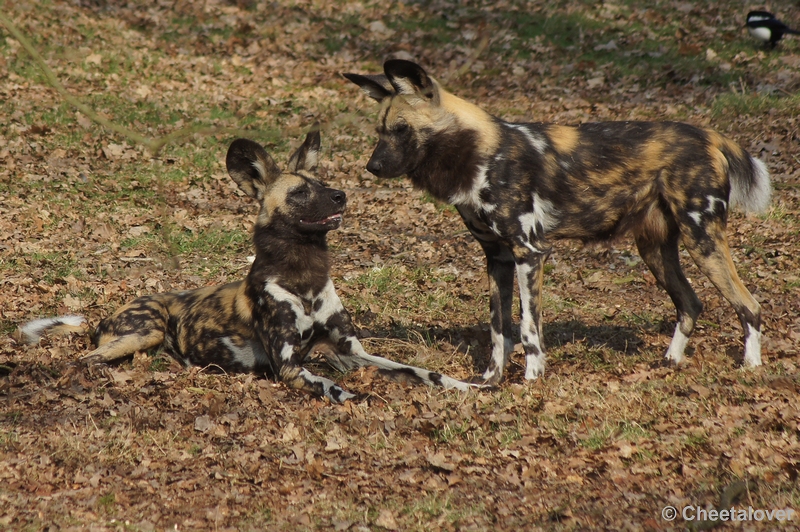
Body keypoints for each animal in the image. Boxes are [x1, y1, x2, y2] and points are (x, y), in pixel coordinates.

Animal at [21, 130, 476, 404]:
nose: (341, 195)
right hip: (146, 330)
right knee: (88, 361)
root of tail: (107, 316)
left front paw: (466, 386)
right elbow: (334, 388)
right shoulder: (290, 365)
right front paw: (359, 398)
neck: (305, 278)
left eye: (323, 183)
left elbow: (425, 372)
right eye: (300, 193)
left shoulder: (352, 353)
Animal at [346, 60, 772, 384]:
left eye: (401, 130)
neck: (478, 154)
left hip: (702, 240)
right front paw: (490, 381)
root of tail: (708, 135)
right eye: (379, 132)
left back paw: (751, 368)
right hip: (654, 249)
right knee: (691, 303)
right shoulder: (497, 258)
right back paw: (670, 362)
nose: (372, 167)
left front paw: (532, 381)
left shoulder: (529, 253)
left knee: (749, 305)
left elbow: (528, 328)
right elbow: (498, 329)